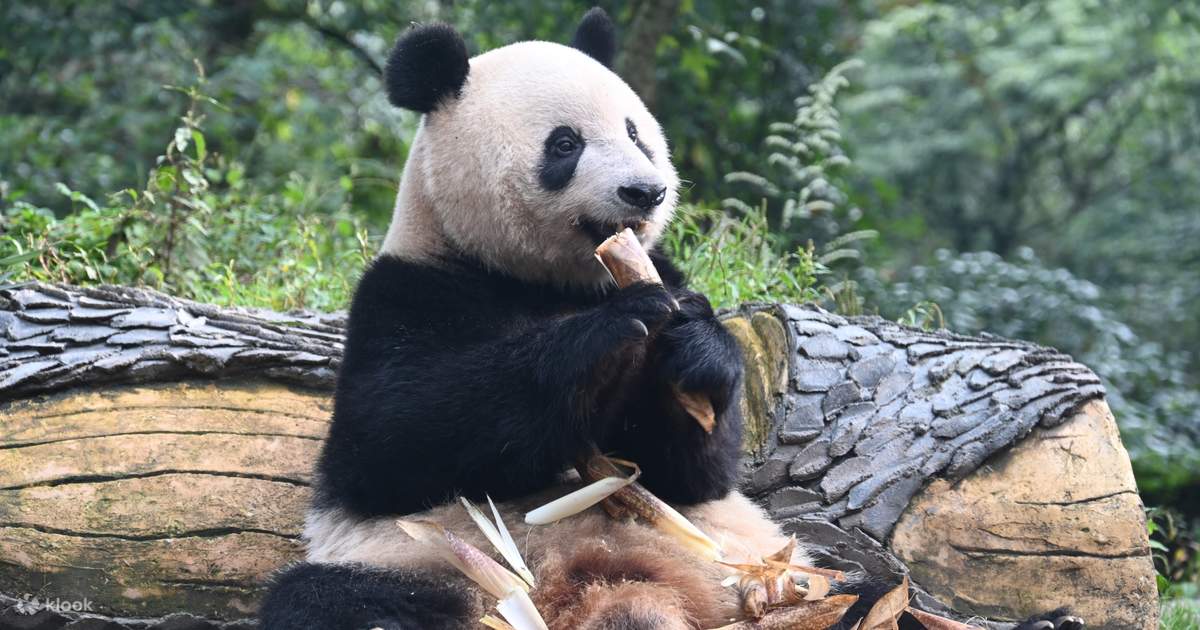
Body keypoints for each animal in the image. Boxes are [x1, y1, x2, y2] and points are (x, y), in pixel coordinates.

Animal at [259, 9, 1084, 630]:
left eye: (636, 132)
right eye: (564, 143)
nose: (644, 192)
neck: (548, 279)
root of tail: (615, 593)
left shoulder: (676, 282)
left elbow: (696, 468)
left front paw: (695, 352)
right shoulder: (407, 292)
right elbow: (394, 436)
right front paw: (605, 337)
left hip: (760, 564)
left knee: (874, 586)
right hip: (441, 567)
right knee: (344, 604)